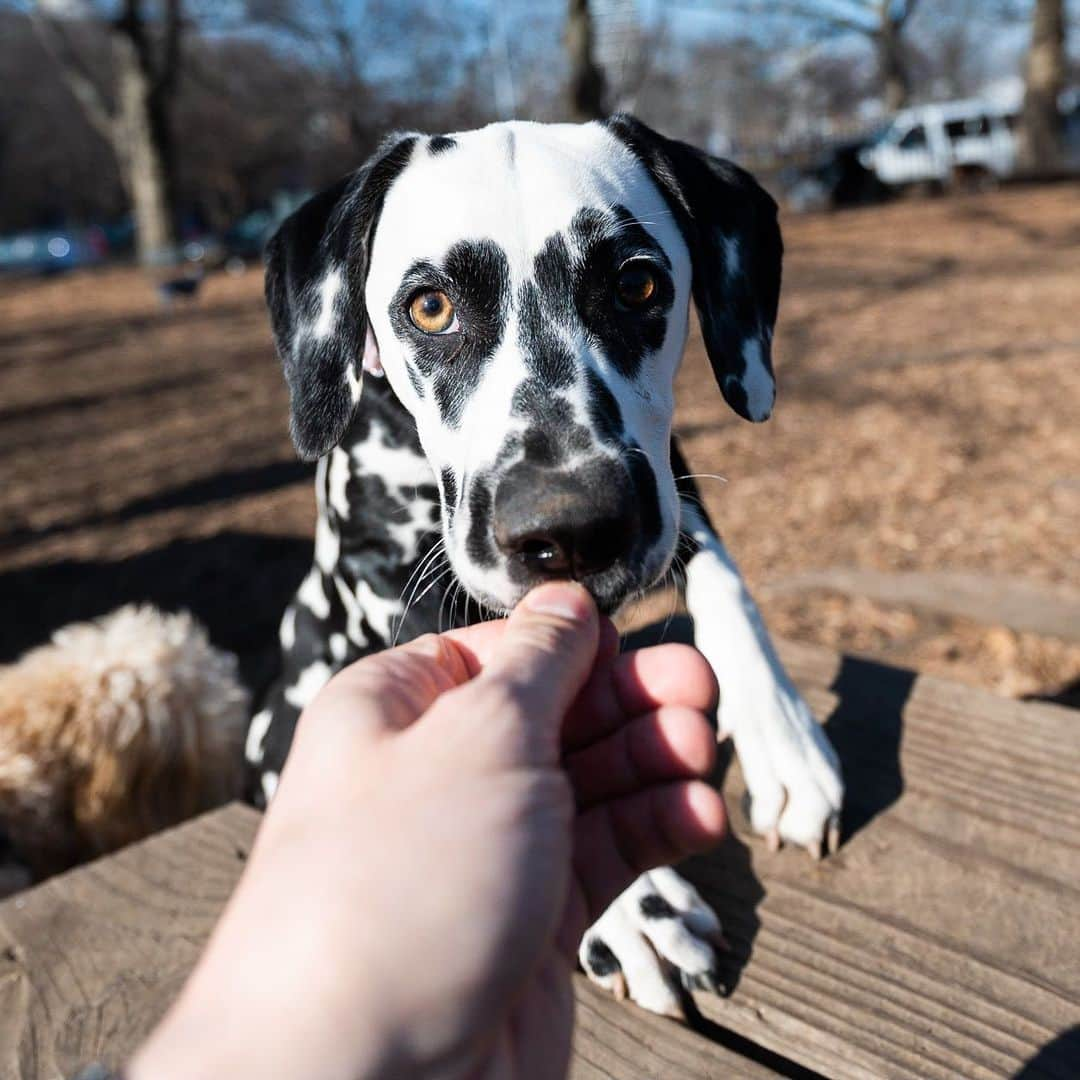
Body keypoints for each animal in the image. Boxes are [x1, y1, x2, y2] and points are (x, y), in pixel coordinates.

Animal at [245, 118, 842, 1019]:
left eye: (637, 284)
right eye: (430, 306)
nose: (569, 528)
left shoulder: (666, 486)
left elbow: (723, 577)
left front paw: (784, 738)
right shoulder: (392, 580)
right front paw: (631, 904)